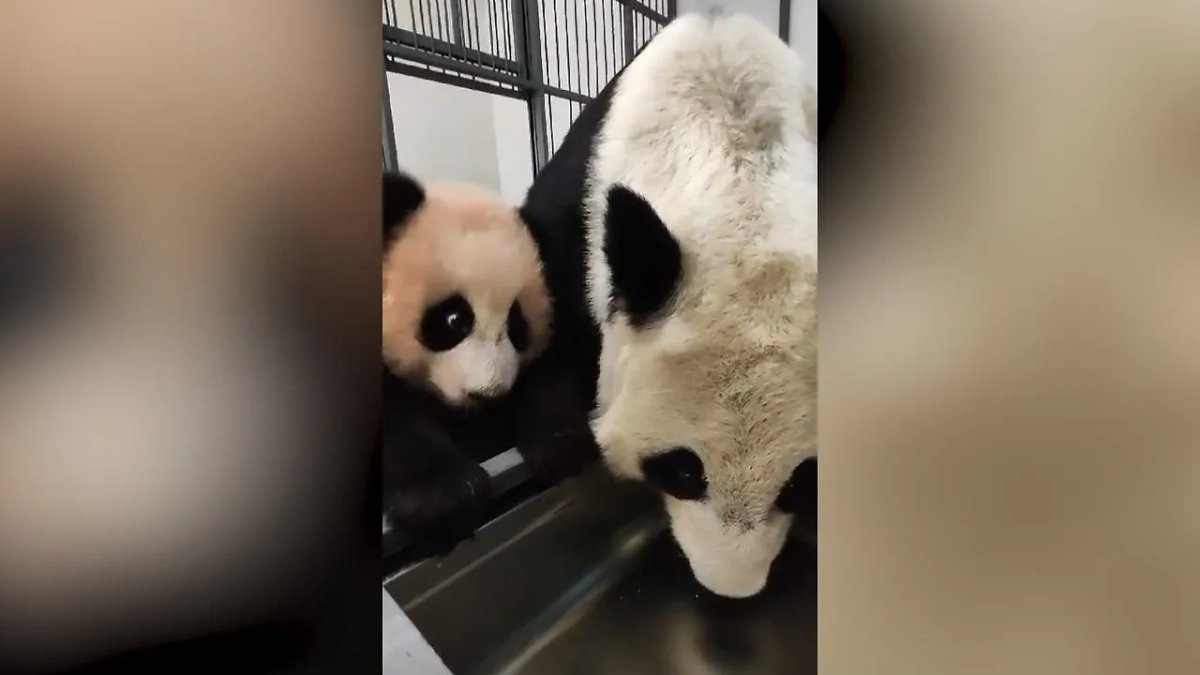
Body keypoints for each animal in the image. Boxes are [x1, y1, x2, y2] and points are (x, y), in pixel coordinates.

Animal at [381, 170, 594, 554]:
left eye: (517, 325)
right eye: (454, 319)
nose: (487, 393)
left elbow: (550, 374)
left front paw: (561, 444)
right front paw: (442, 500)